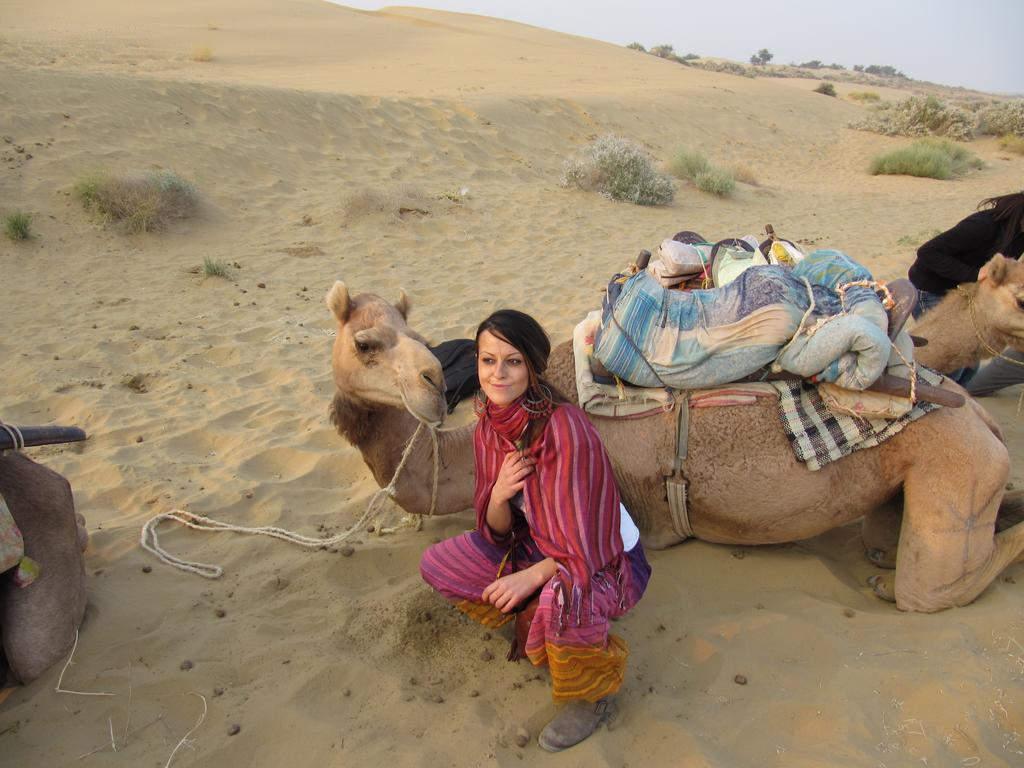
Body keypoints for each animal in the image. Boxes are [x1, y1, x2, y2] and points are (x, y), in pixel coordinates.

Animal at [325, 256, 1024, 618]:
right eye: (367, 342)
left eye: (414, 340)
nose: (431, 387)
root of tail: (980, 419)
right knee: (888, 546)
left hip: (956, 468)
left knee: (925, 589)